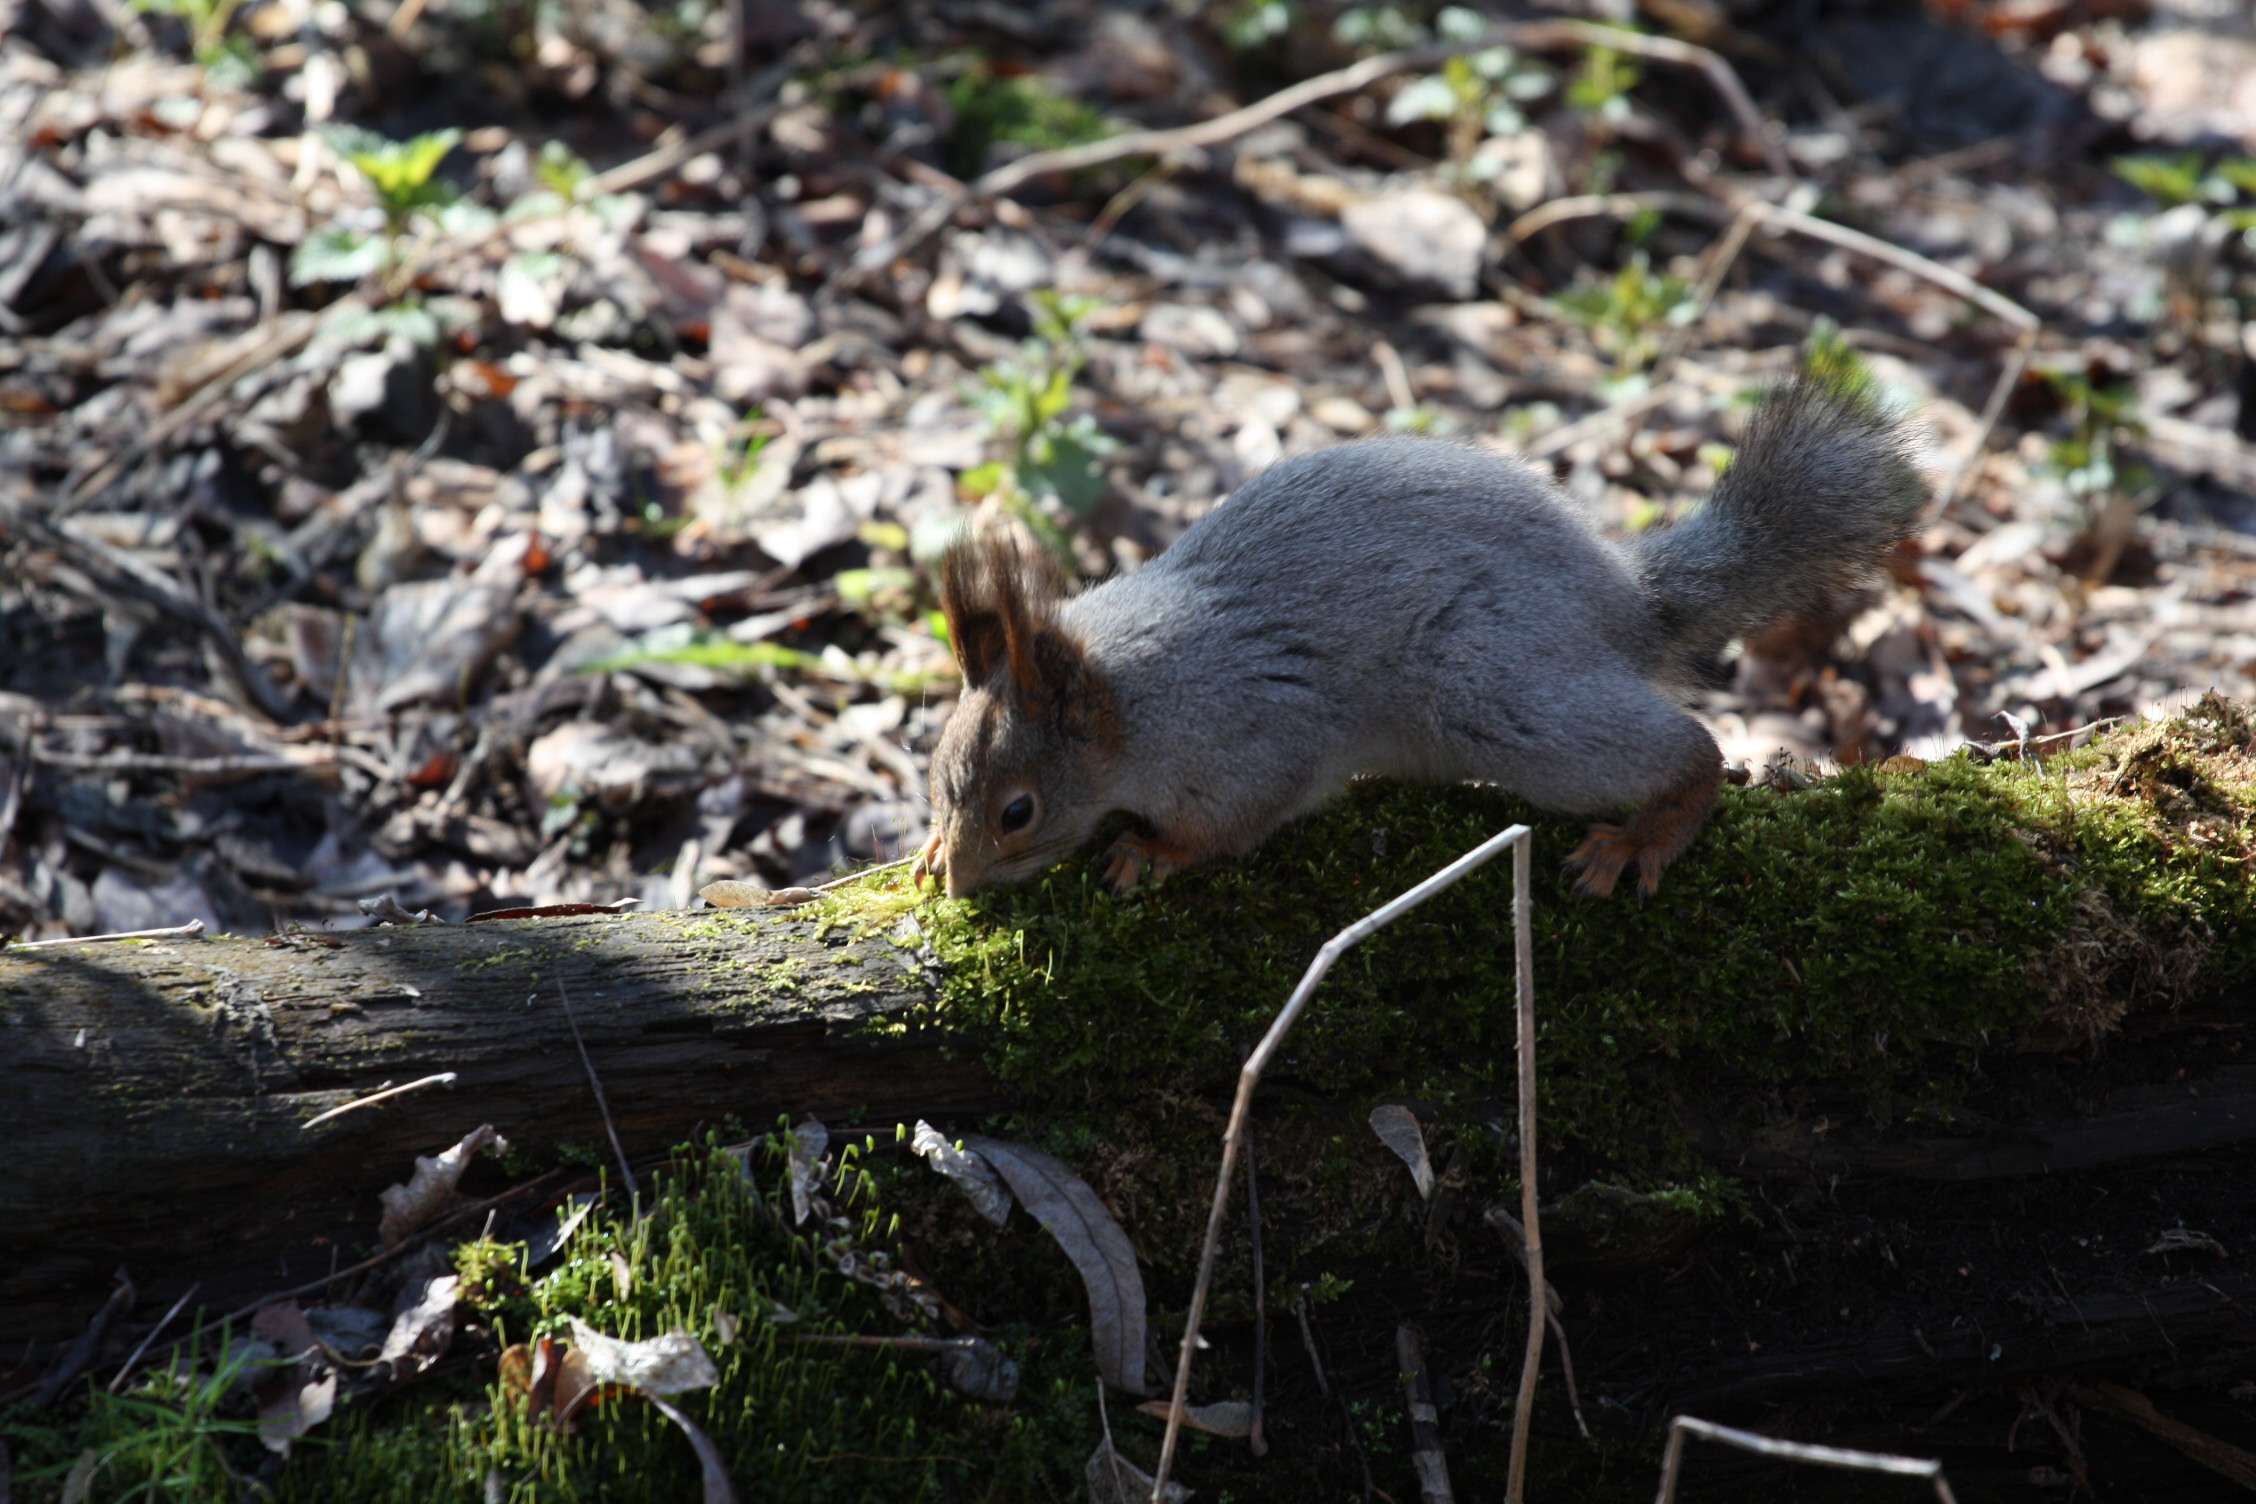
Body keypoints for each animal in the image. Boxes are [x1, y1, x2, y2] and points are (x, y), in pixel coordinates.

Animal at [911, 376, 1922, 901]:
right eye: (935, 778)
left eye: (1018, 811)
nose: (958, 884)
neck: (1134, 703)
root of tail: (1627, 601)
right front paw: (925, 851)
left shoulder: (1252, 737)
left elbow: (1235, 822)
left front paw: (1156, 853)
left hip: (1491, 692)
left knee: (1687, 748)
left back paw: (1645, 835)